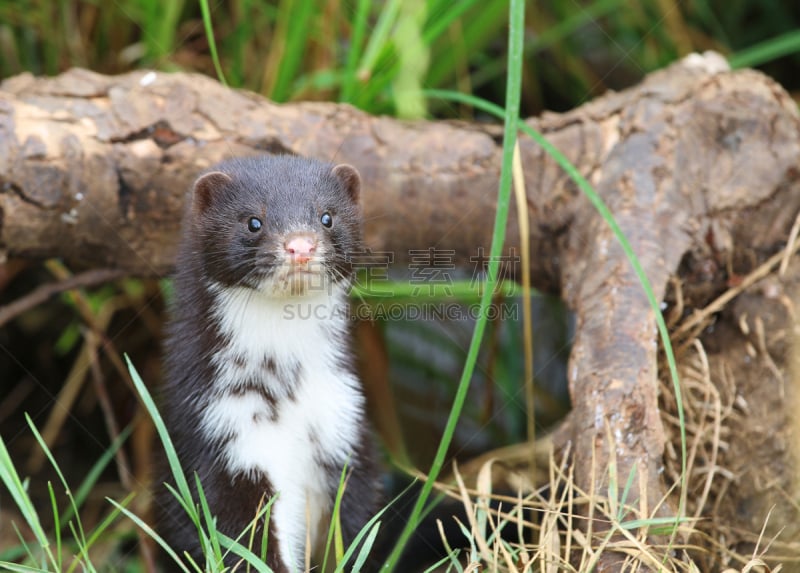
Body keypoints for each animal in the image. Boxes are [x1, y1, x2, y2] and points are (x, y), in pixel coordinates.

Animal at [159, 154, 382, 568]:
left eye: (327, 216)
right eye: (253, 221)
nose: (300, 246)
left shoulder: (344, 424)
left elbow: (356, 526)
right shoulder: (223, 434)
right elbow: (239, 539)